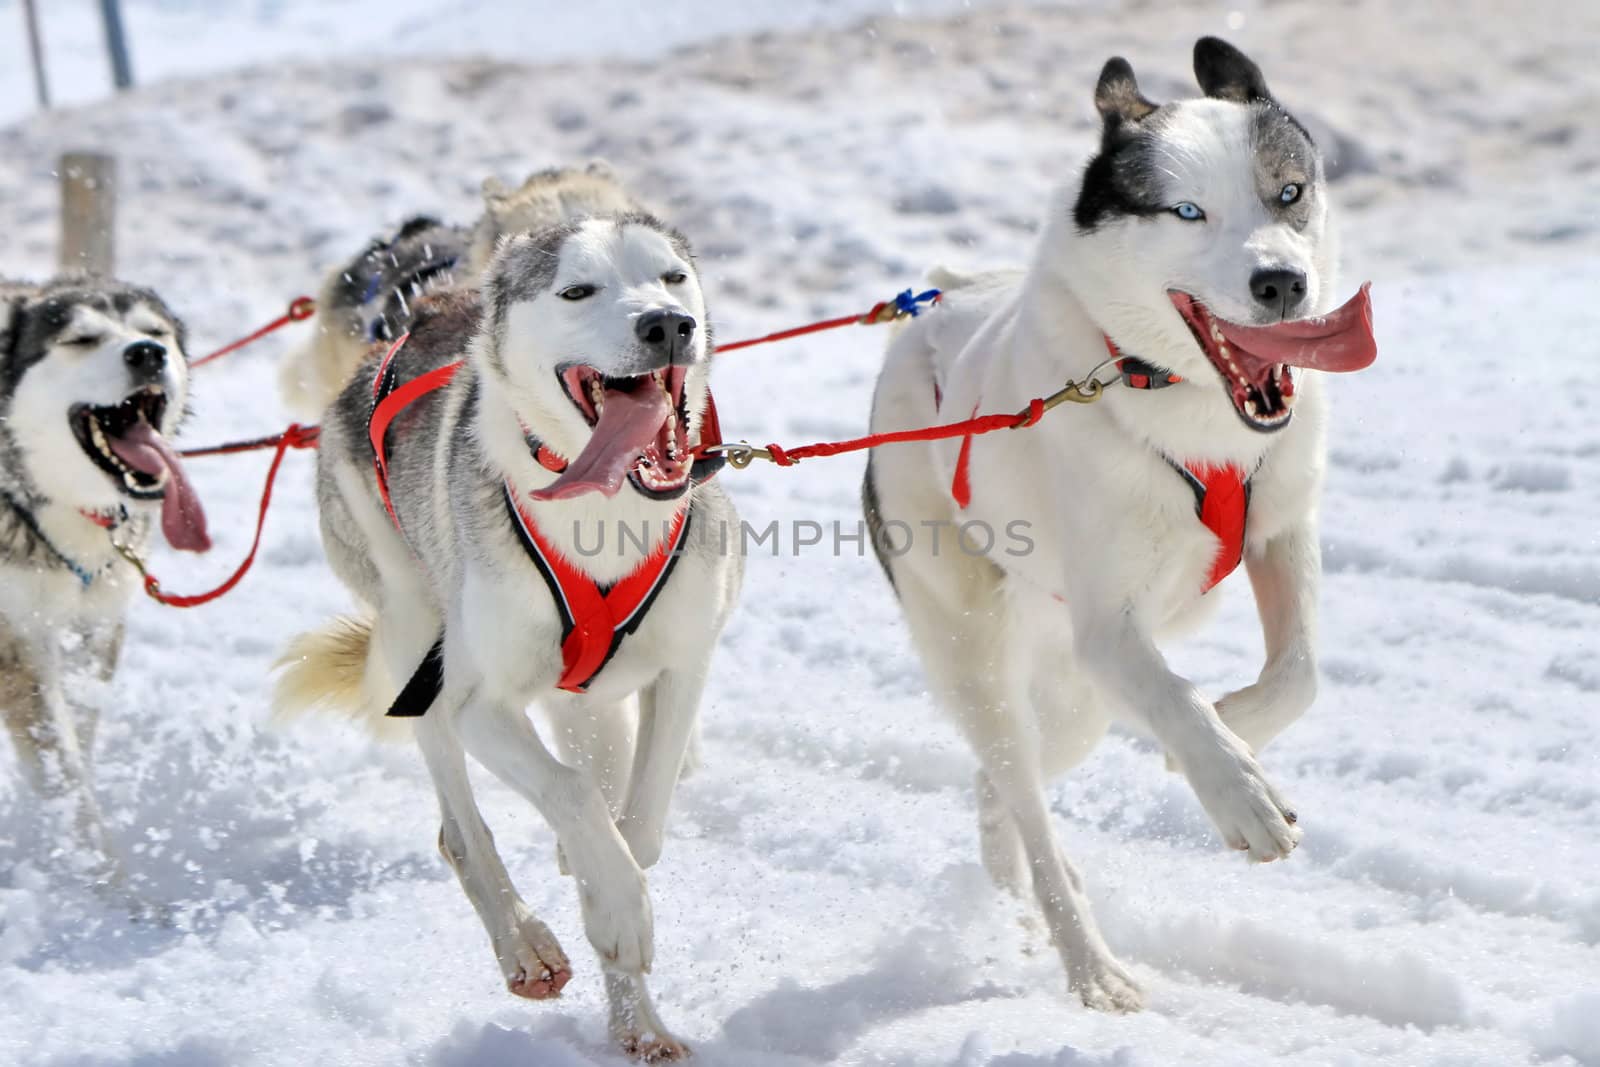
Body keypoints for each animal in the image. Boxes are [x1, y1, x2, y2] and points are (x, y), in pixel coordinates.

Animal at [1, 273, 211, 883]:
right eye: (80, 339)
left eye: (153, 332)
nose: (146, 354)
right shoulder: (18, 643)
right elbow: (64, 772)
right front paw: (110, 886)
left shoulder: (94, 628)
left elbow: (79, 739)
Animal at [276, 204, 742, 1055]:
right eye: (578, 289)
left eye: (671, 277)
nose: (668, 324)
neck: (607, 512)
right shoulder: (477, 706)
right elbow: (573, 796)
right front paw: (615, 903)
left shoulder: (684, 664)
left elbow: (640, 820)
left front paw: (607, 891)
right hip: (413, 640)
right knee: (461, 832)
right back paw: (525, 943)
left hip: (584, 699)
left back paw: (640, 1026)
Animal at [864, 37, 1376, 1017]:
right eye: (1188, 210)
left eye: (1287, 191)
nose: (1282, 282)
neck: (1173, 398)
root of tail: (931, 314)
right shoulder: (1110, 628)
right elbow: (1177, 699)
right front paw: (1236, 789)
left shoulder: (1281, 532)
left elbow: (1300, 672)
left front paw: (1236, 729)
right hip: (984, 657)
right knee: (1023, 793)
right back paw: (1090, 962)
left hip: (1076, 705)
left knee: (1005, 790)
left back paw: (1014, 886)